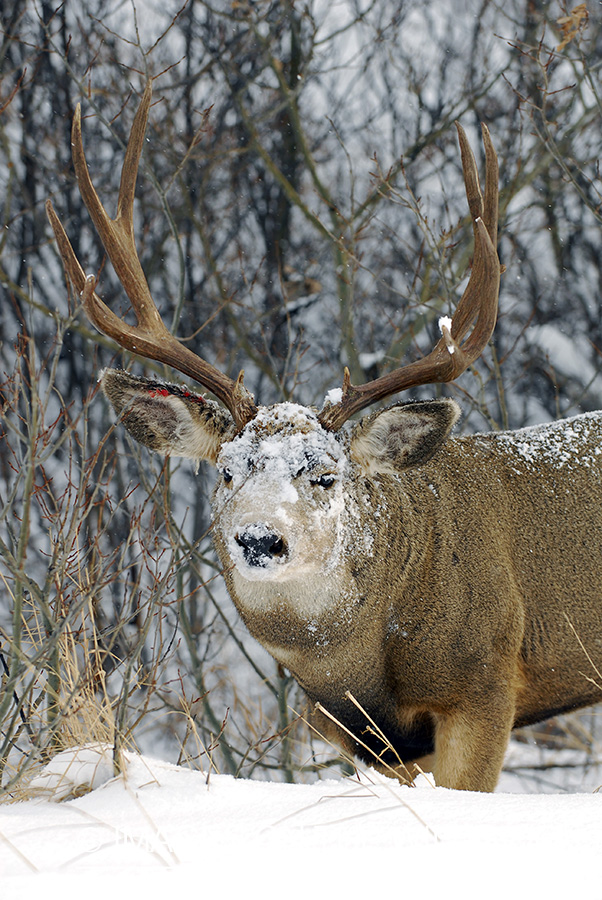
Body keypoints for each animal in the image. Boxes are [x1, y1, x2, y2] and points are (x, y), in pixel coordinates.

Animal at [46, 81, 602, 793]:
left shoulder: (486, 684)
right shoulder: (361, 737)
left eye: (325, 474)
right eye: (227, 470)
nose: (260, 538)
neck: (362, 668)